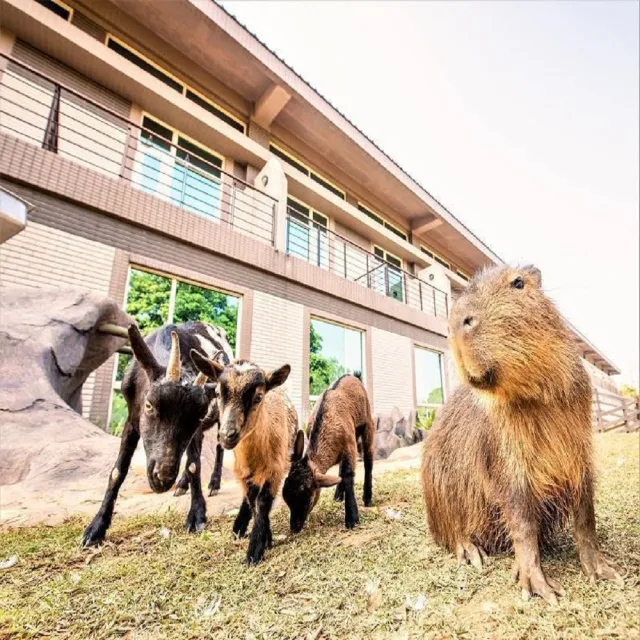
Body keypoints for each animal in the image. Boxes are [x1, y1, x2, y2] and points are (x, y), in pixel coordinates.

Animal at [191, 356, 298, 564]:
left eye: (258, 397)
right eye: (217, 393)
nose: (226, 435)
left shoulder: (275, 470)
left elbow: (263, 502)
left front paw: (255, 551)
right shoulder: (243, 473)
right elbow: (252, 500)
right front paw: (265, 539)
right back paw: (239, 526)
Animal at [282, 372, 376, 532]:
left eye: (308, 500)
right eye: (286, 498)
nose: (294, 528)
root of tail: (352, 375)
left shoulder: (350, 445)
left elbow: (348, 474)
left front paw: (352, 518)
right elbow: (343, 472)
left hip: (367, 423)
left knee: (368, 459)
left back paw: (367, 497)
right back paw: (338, 495)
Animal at [422, 262, 624, 604]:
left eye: (519, 283)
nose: (457, 321)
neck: (535, 398)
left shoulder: (580, 450)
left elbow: (586, 513)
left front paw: (606, 571)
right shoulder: (507, 461)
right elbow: (521, 519)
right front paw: (540, 587)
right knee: (451, 534)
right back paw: (473, 553)